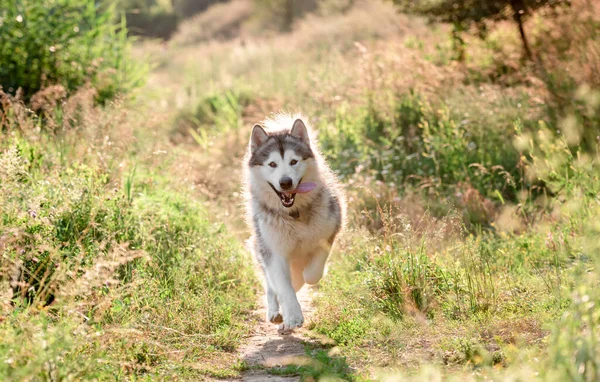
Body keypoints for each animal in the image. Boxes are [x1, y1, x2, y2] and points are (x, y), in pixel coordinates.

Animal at [244, 114, 344, 334]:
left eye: (293, 161)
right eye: (272, 164)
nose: (286, 182)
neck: (294, 214)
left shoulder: (329, 232)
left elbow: (312, 273)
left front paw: (307, 274)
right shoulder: (274, 250)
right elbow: (283, 286)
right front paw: (293, 316)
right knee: (270, 284)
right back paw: (275, 312)